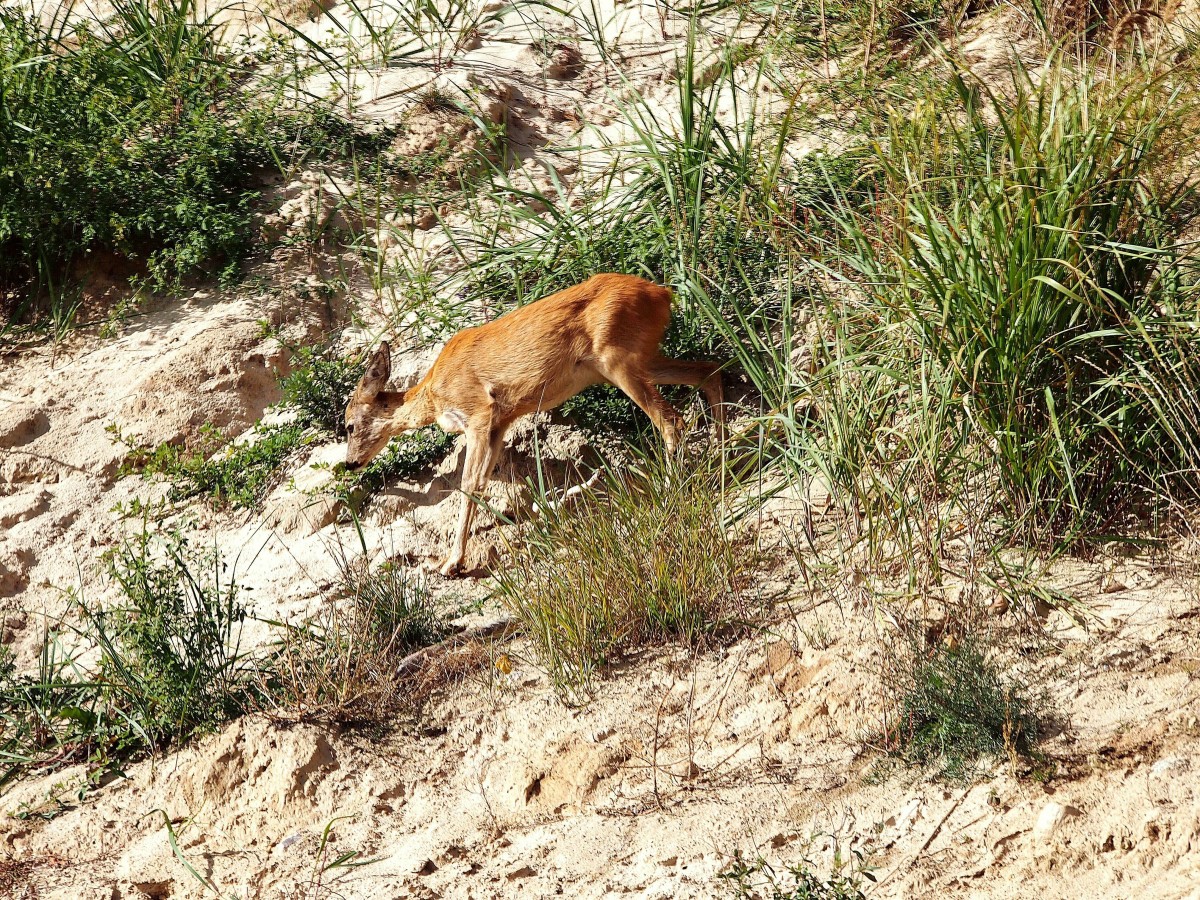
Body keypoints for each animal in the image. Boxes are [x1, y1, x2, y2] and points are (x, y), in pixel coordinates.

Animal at [343, 271, 724, 578]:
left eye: (347, 425)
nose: (349, 463)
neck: (433, 393)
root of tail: (662, 293)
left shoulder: (478, 410)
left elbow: (467, 485)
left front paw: (451, 563)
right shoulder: (501, 421)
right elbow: (481, 483)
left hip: (617, 357)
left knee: (672, 419)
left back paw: (671, 490)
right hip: (636, 359)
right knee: (708, 370)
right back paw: (722, 456)